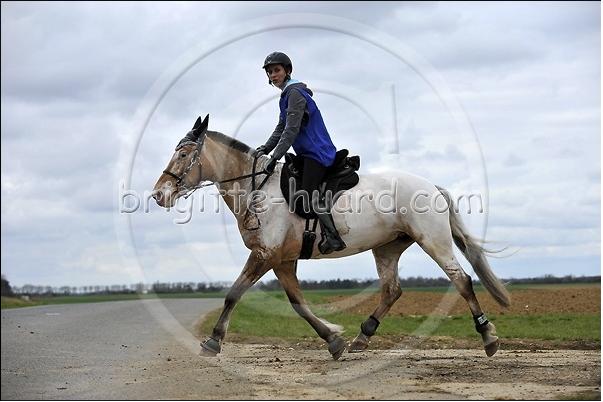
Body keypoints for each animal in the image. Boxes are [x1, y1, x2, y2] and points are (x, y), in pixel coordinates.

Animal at [153, 114, 512, 360]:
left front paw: (213, 341)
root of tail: (431, 186)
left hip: (432, 241)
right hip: (387, 247)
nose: (158, 194)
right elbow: (298, 304)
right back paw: (361, 338)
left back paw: (489, 337)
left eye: (183, 155)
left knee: (462, 280)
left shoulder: (265, 255)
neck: (257, 188)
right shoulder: (281, 260)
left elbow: (233, 294)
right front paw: (334, 340)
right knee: (392, 291)